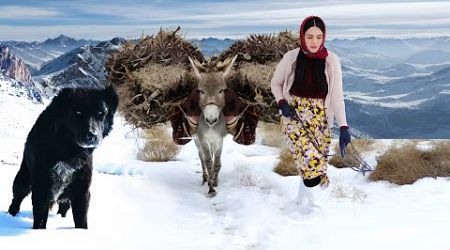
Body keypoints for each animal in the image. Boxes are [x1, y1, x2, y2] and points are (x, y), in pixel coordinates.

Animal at [8, 85, 118, 229]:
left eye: (101, 114)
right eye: (78, 113)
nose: (92, 136)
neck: (69, 151)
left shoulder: (82, 189)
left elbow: (81, 220)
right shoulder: (42, 187)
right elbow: (40, 220)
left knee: (64, 206)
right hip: (24, 178)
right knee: (17, 197)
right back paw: (11, 215)